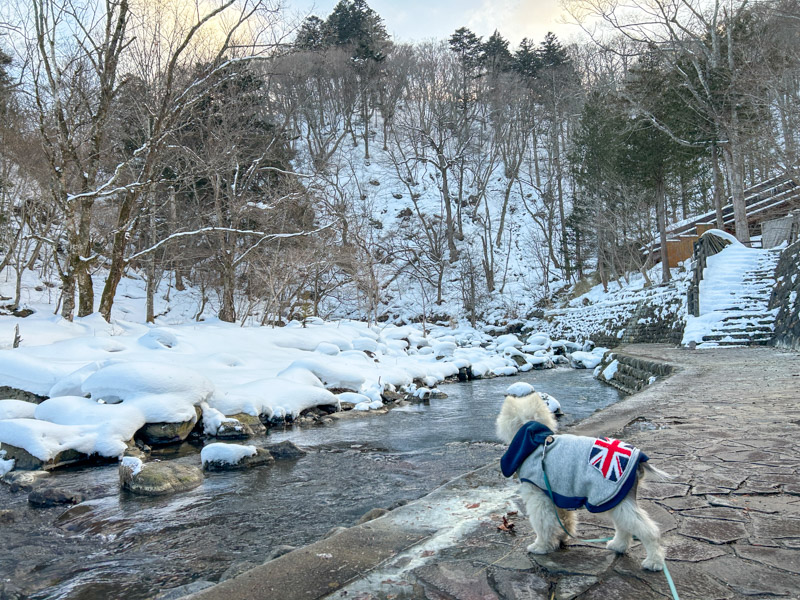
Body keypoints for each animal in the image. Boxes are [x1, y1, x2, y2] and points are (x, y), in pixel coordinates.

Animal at [496, 390, 664, 572]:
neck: (534, 441)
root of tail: (639, 459)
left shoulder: (538, 498)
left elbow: (543, 524)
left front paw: (541, 546)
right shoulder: (558, 495)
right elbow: (564, 520)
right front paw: (562, 538)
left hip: (611, 498)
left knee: (648, 530)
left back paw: (654, 561)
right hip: (616, 502)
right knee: (624, 526)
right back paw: (618, 545)